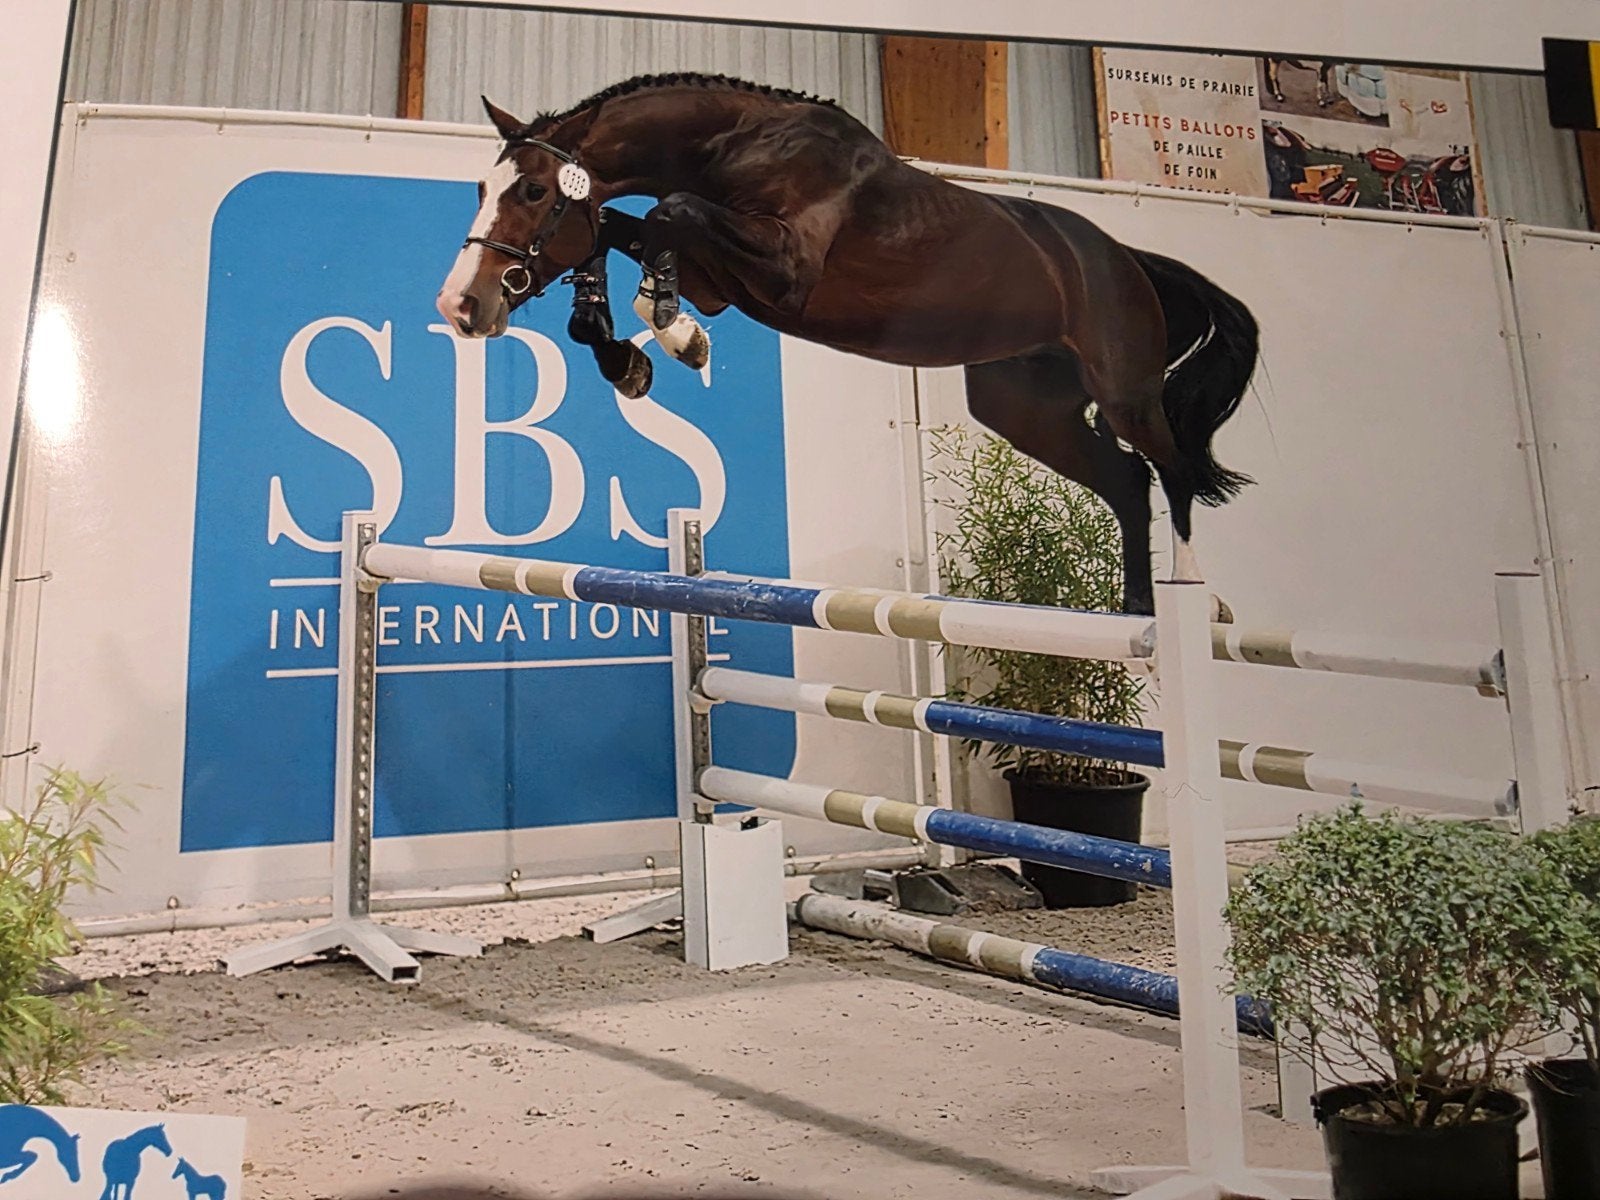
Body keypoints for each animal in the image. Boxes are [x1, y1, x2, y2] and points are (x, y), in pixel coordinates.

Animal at [435, 73, 1260, 617]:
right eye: (480, 190)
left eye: (533, 192)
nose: (462, 305)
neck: (738, 144)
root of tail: (1128, 258)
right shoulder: (719, 277)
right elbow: (617, 228)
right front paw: (630, 353)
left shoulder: (783, 269)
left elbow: (670, 212)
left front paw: (672, 333)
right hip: (1024, 409)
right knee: (1125, 480)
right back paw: (1135, 611)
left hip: (1124, 390)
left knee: (1169, 470)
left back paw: (1193, 599)